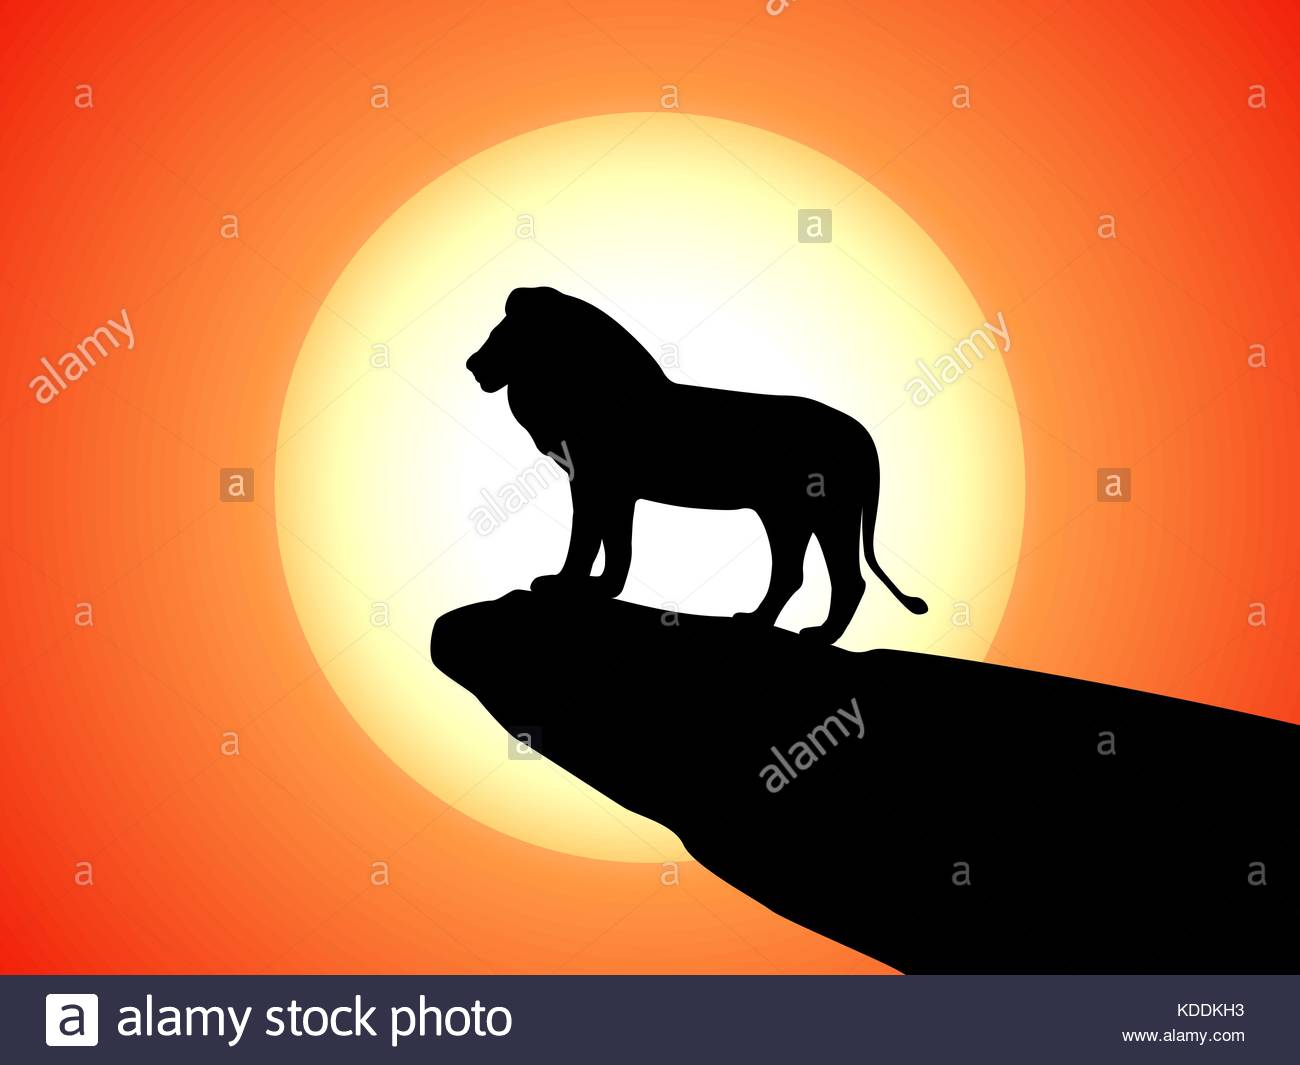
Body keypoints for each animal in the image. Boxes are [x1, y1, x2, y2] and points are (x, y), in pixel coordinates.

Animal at [466, 286, 927, 643]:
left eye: (503, 335)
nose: (472, 365)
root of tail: (861, 434)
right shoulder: (619, 492)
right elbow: (617, 544)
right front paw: (603, 589)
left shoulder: (594, 482)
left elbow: (585, 538)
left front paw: (562, 586)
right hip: (793, 516)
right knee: (796, 574)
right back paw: (759, 623)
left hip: (823, 513)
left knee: (842, 579)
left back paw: (814, 636)